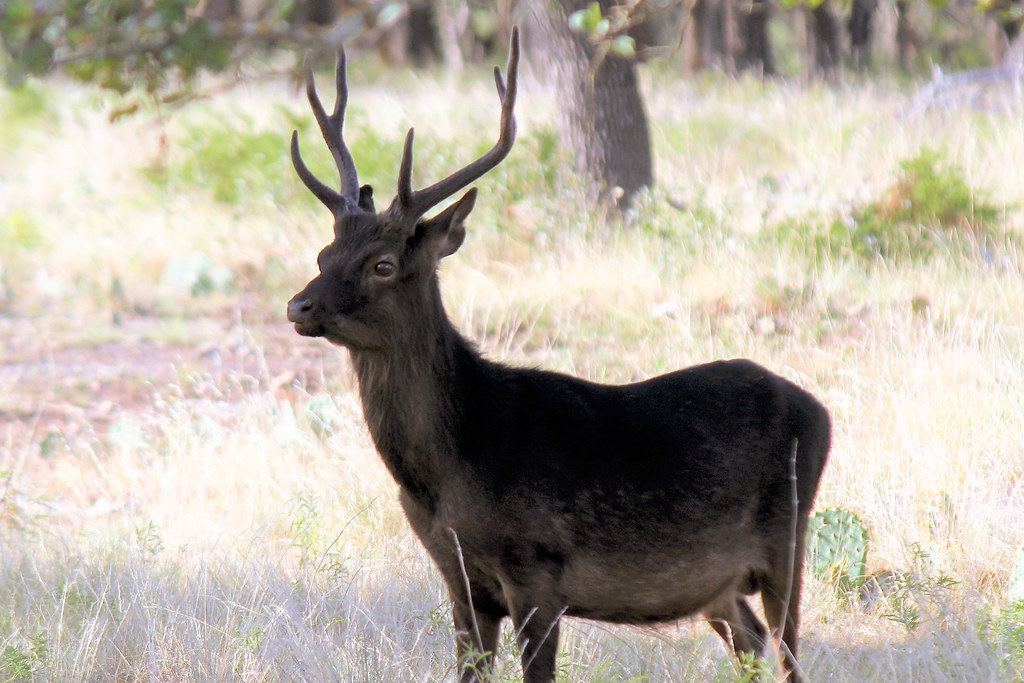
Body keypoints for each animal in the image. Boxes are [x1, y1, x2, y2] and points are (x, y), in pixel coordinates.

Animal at [284, 26, 827, 683]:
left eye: (382, 265)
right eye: (323, 254)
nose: (299, 306)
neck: (448, 474)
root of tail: (819, 409)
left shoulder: (535, 568)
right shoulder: (458, 579)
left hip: (788, 535)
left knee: (788, 651)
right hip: (717, 583)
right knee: (750, 642)